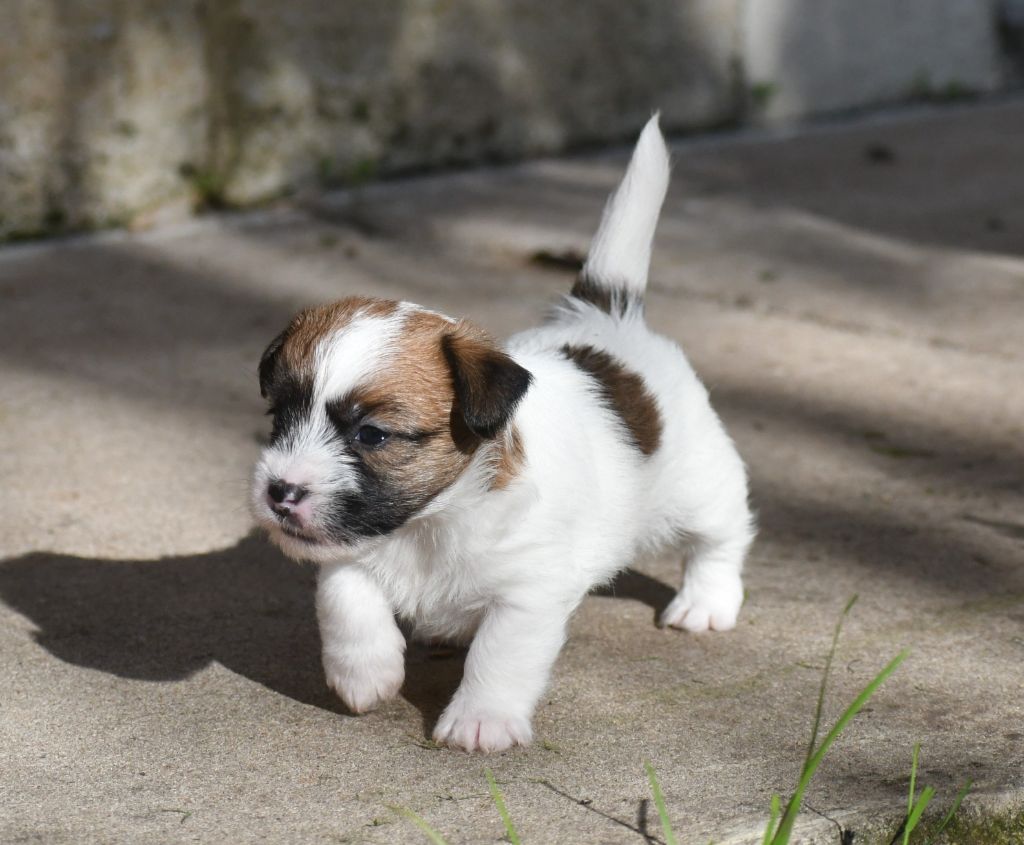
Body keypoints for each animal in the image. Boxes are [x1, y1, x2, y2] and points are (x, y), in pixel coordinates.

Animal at [251, 113, 757, 749]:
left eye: (372, 435)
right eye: (280, 418)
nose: (279, 492)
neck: (431, 525)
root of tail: (607, 315)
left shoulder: (527, 595)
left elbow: (499, 656)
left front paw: (480, 720)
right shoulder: (347, 549)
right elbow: (345, 597)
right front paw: (366, 674)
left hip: (701, 485)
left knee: (723, 537)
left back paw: (705, 603)